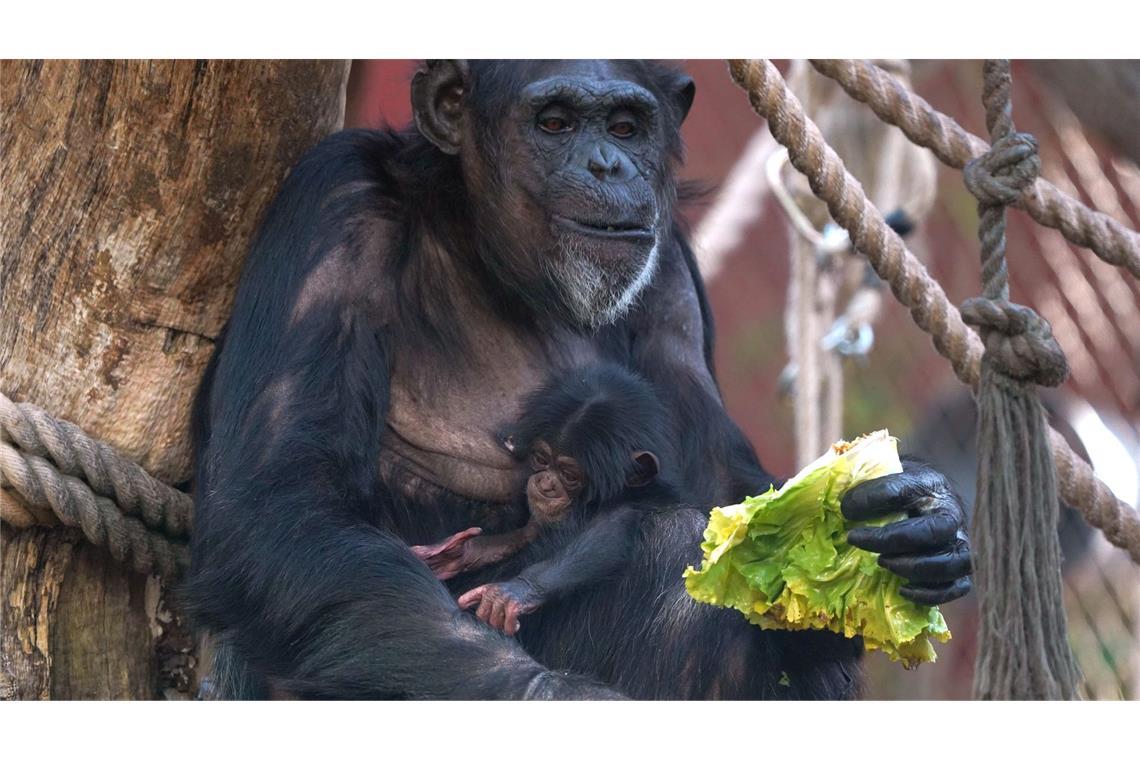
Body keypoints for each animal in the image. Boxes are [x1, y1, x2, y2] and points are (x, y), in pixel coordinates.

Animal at [186, 60, 971, 701]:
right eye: (555, 121)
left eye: (625, 125)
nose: (607, 165)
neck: (486, 250)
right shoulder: (332, 207)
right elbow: (280, 508)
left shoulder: (668, 275)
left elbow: (724, 495)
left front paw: (920, 518)